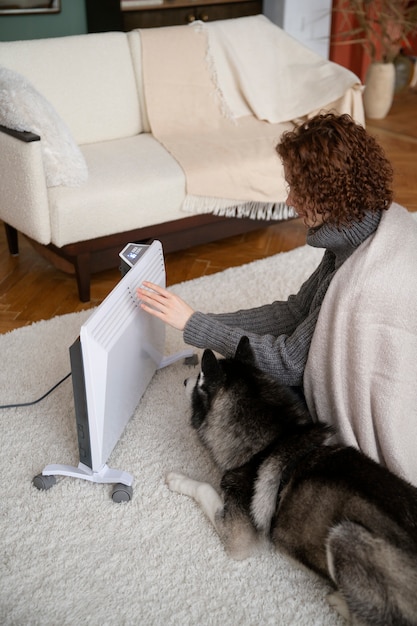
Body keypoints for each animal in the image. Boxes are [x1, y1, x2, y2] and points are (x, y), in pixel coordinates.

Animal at [167, 336, 416, 624]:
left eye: (198, 378)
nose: (183, 381)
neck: (273, 441)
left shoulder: (238, 535)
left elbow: (205, 488)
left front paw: (178, 480)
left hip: (345, 537)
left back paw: (340, 600)